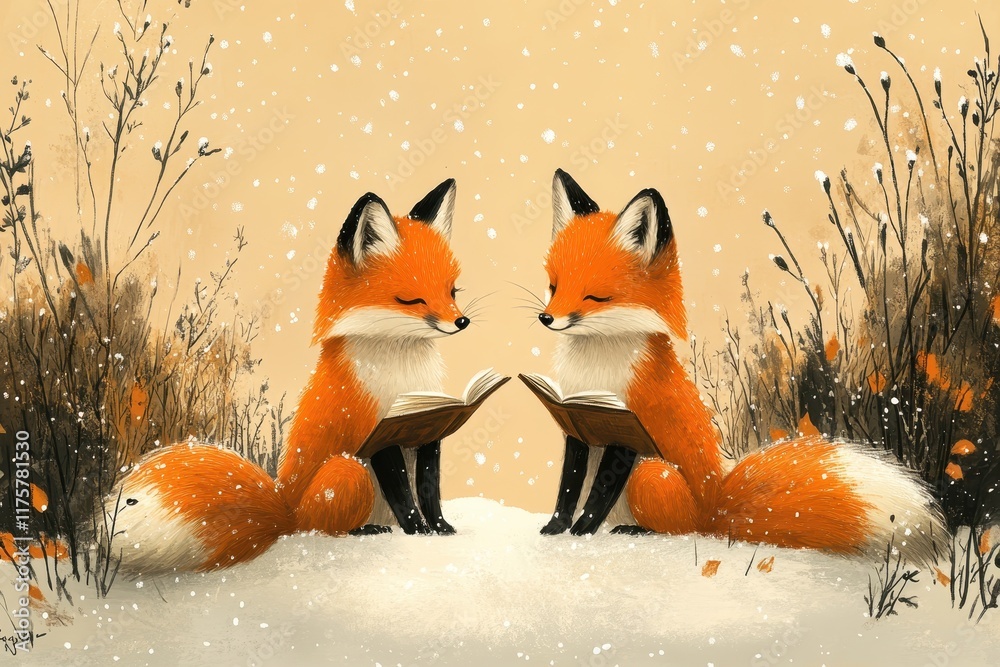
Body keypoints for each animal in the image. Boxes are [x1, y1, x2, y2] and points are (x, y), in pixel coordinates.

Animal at [106, 179, 470, 574]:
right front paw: (419, 533)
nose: (462, 321)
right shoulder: (378, 432)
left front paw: (441, 529)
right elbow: (405, 495)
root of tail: (286, 512)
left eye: (452, 291)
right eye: (411, 300)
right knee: (324, 527)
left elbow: (430, 489)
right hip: (348, 470)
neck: (404, 373)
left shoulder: (429, 424)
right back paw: (365, 529)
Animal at [535, 168, 945, 565]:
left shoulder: (628, 424)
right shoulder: (576, 418)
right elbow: (569, 485)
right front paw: (557, 527)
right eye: (554, 286)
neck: (594, 365)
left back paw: (637, 530)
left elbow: (598, 491)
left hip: (653, 473)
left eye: (595, 296)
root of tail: (716, 507)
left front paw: (582, 531)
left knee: (680, 528)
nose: (546, 318)